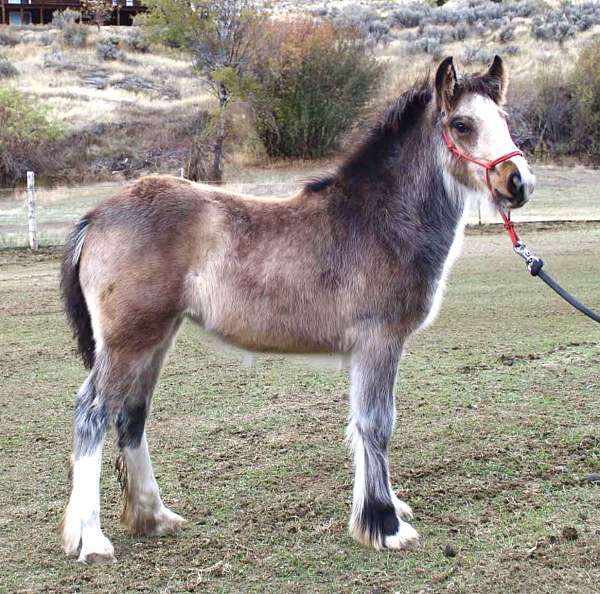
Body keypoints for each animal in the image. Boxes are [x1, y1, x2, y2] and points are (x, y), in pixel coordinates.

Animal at [57, 55, 536, 560]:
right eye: (462, 124)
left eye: (503, 119)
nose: (518, 182)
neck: (380, 220)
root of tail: (95, 217)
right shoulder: (380, 341)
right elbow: (376, 424)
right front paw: (385, 524)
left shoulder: (365, 350)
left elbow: (359, 425)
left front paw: (382, 507)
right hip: (129, 342)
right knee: (92, 414)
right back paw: (91, 539)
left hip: (155, 339)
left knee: (131, 415)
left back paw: (154, 516)